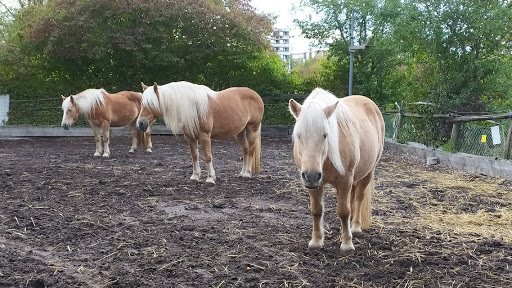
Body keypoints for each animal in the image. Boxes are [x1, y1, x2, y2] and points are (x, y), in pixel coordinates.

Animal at [136, 81, 264, 184]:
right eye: (141, 103)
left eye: (151, 104)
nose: (140, 123)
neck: (192, 106)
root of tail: (256, 95)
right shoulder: (190, 137)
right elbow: (194, 156)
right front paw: (195, 176)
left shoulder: (204, 136)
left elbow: (208, 157)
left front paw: (210, 178)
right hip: (240, 132)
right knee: (245, 150)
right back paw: (242, 173)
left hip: (252, 128)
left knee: (250, 150)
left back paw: (247, 174)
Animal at [288, 88, 384, 254]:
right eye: (299, 135)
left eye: (325, 135)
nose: (312, 176)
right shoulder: (314, 185)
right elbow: (317, 210)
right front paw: (316, 241)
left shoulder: (345, 181)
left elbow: (343, 211)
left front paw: (347, 244)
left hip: (368, 173)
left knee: (358, 198)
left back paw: (355, 227)